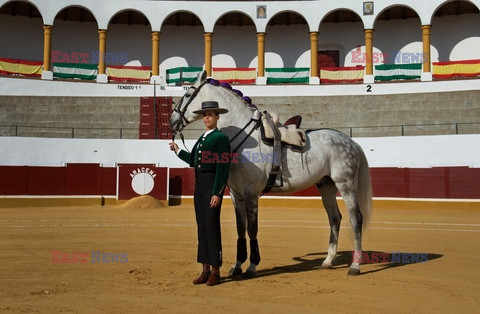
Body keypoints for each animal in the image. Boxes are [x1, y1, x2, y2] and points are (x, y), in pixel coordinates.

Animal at [171, 72, 374, 278]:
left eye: (187, 94)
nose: (172, 120)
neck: (244, 137)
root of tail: (352, 142)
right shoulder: (236, 194)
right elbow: (240, 228)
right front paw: (237, 266)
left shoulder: (251, 193)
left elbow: (252, 229)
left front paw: (252, 266)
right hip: (326, 186)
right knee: (335, 218)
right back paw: (327, 261)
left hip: (346, 184)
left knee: (356, 218)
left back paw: (355, 266)